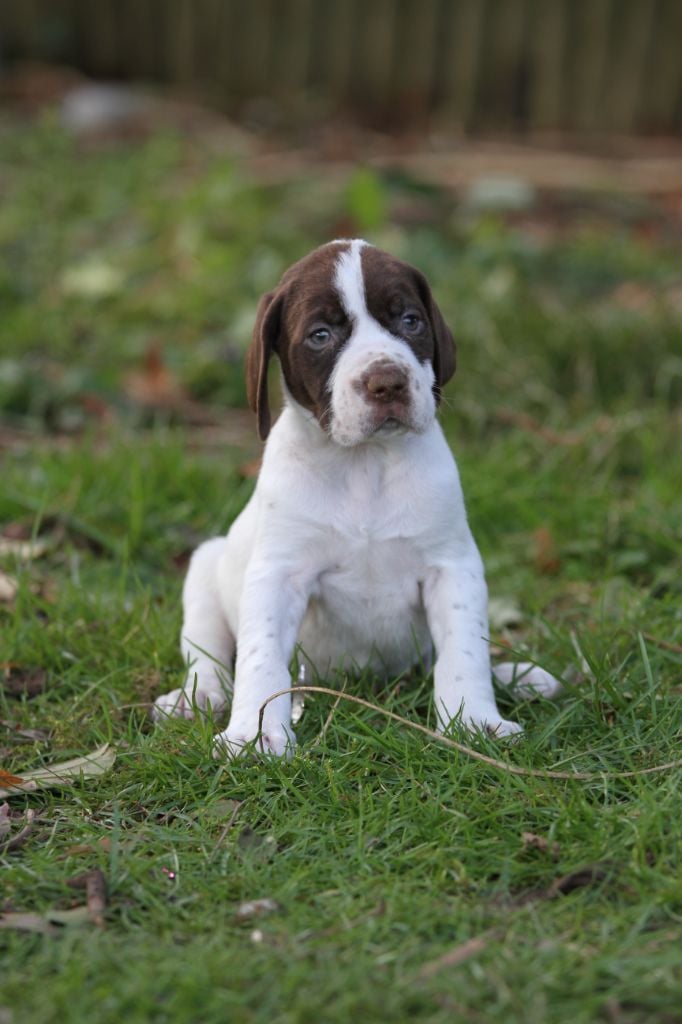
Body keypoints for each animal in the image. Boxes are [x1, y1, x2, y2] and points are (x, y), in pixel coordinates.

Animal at [153, 237, 557, 753]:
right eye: (321, 335)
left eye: (410, 321)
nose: (386, 382)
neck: (365, 465)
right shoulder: (278, 574)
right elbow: (261, 661)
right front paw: (256, 735)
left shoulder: (452, 566)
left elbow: (464, 653)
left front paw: (473, 723)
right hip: (205, 568)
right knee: (209, 655)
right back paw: (197, 697)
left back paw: (517, 677)